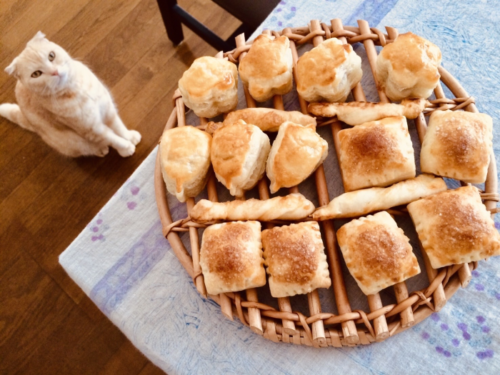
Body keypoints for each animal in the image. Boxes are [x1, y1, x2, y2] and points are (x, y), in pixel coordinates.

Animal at [0, 30, 141, 157]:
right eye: (36, 74)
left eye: (51, 56)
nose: (55, 71)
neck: (76, 89)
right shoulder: (93, 130)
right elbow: (114, 139)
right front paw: (126, 148)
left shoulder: (108, 110)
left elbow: (119, 127)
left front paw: (130, 137)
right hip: (73, 142)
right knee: (89, 148)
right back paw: (101, 150)